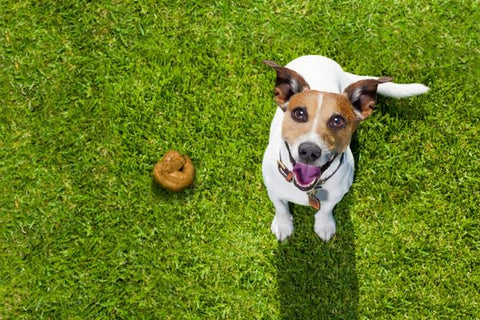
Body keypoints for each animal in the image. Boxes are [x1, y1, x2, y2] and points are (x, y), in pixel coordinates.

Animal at [262, 55, 428, 241]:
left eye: (337, 121)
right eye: (299, 113)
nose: (309, 151)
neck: (309, 189)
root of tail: (318, 57)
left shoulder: (337, 194)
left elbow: (326, 209)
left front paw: (324, 225)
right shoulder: (273, 190)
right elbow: (281, 207)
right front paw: (283, 225)